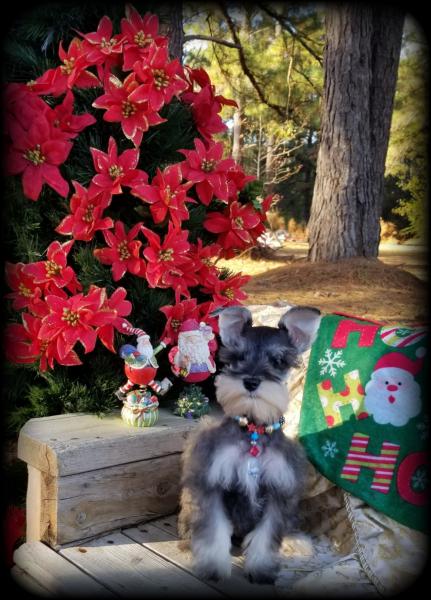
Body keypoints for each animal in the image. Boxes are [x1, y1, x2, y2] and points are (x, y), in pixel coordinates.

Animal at [177, 304, 322, 580]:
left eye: (278, 361)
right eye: (238, 356)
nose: (251, 381)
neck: (253, 430)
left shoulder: (279, 489)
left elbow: (267, 536)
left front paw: (261, 569)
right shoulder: (212, 483)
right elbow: (213, 531)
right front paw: (213, 568)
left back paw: (296, 541)